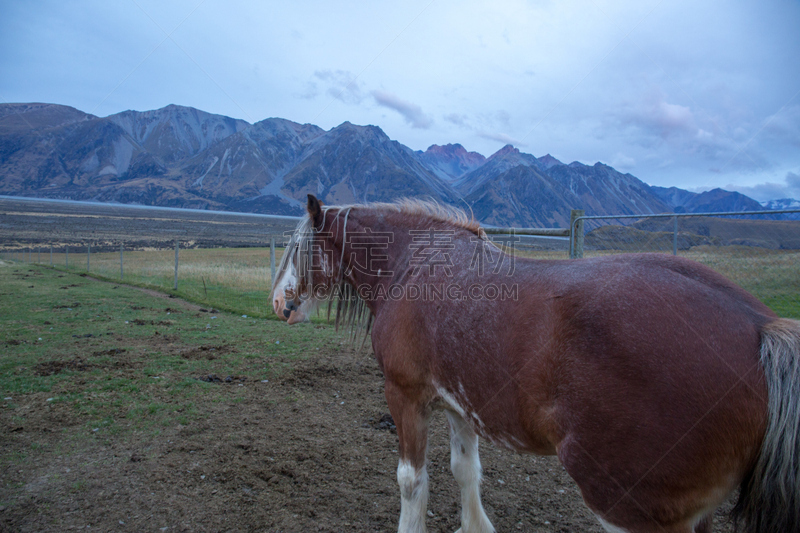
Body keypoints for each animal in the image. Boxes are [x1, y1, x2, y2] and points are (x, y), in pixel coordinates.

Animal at [272, 195, 796, 532]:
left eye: (298, 247)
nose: (279, 302)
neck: (414, 267)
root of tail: (760, 329)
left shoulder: (406, 396)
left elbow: (411, 482)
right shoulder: (459, 404)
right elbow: (465, 470)